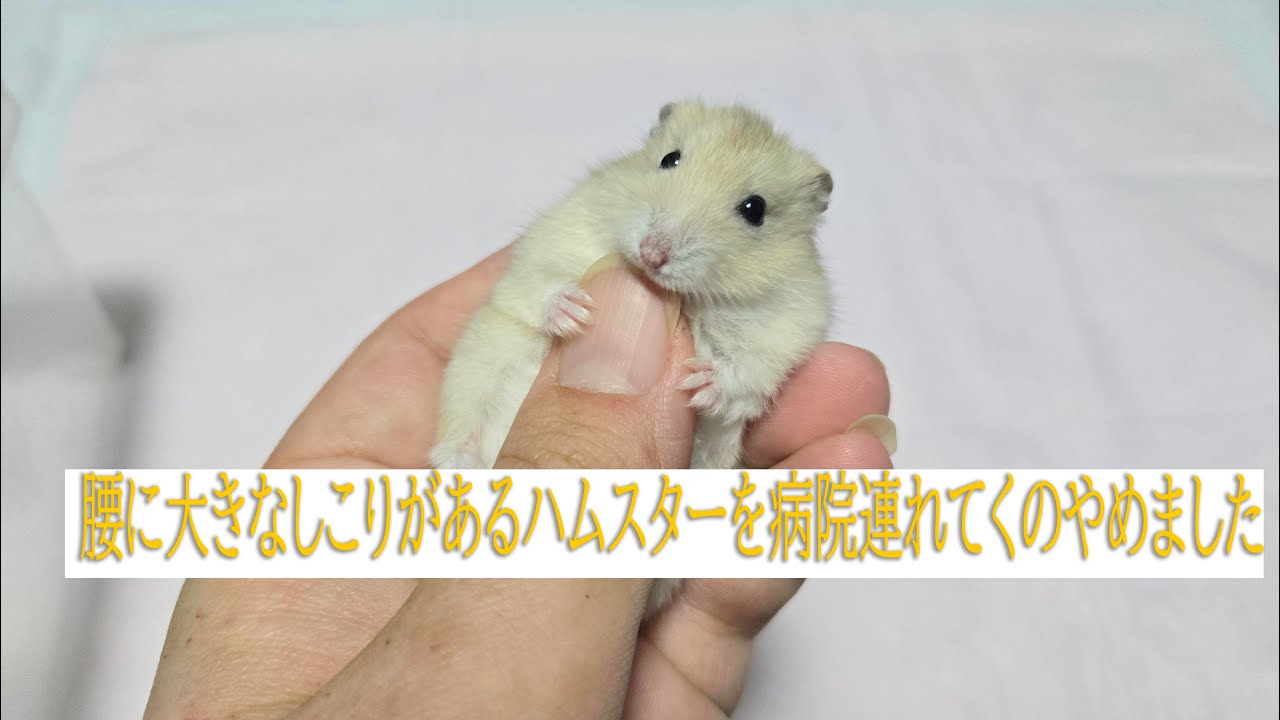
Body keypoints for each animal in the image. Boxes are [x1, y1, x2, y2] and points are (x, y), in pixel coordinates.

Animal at [431, 100, 834, 616]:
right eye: (669, 159)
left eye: (755, 210)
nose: (652, 254)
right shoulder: (558, 233)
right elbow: (541, 281)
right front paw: (576, 313)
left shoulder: (790, 322)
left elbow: (750, 370)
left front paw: (701, 386)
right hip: (474, 373)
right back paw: (463, 475)